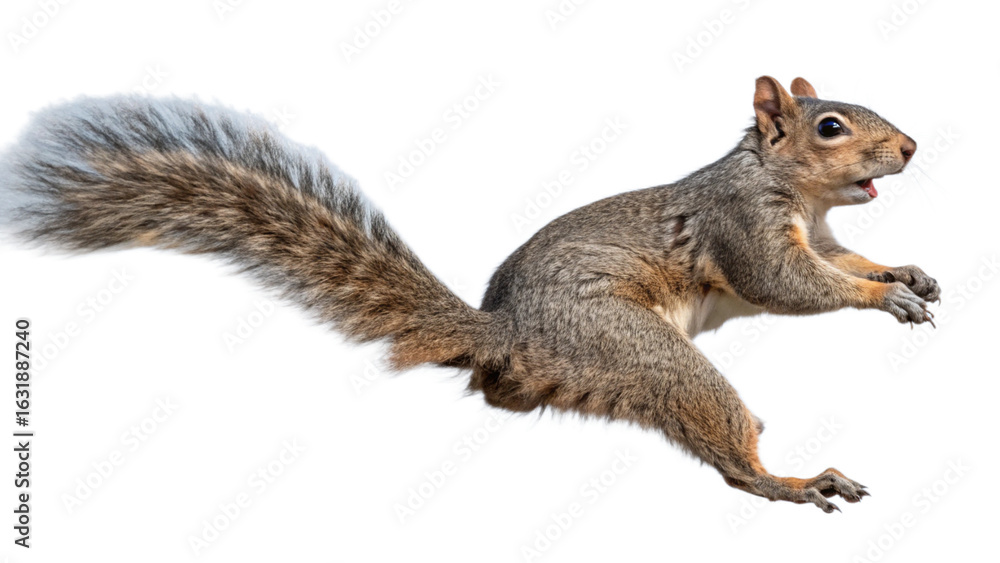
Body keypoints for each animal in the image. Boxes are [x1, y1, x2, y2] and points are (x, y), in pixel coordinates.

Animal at [0, 76, 938, 513]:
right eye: (829, 127)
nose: (912, 147)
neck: (797, 194)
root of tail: (508, 336)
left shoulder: (825, 235)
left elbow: (848, 261)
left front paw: (904, 273)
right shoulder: (744, 227)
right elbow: (793, 285)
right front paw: (883, 300)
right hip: (627, 345)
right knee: (729, 455)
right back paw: (794, 480)